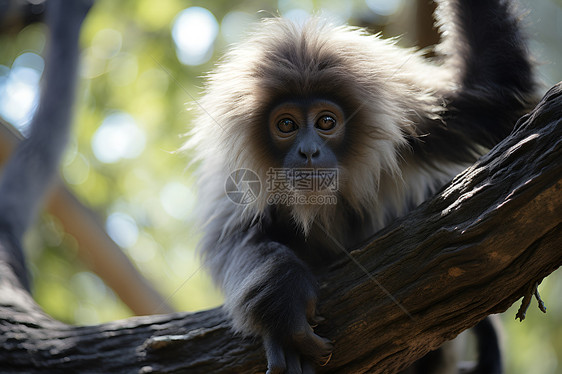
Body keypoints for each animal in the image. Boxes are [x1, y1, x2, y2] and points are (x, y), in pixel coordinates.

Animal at [185, 0, 532, 374]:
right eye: (286, 125)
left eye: (326, 121)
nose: (309, 151)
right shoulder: (237, 179)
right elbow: (233, 239)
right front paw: (282, 302)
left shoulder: (418, 117)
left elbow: (492, 93)